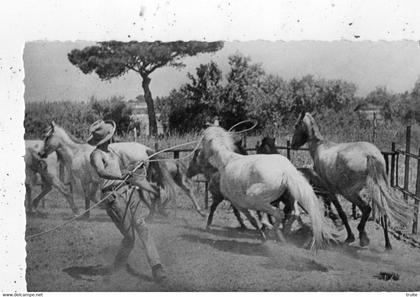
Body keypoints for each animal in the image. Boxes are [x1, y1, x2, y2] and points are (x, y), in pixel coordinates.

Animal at [197, 125, 338, 247]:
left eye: (203, 140)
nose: (199, 156)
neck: (226, 162)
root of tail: (286, 170)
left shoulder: (237, 203)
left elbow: (253, 219)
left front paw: (263, 234)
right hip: (292, 198)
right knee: (293, 213)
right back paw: (283, 233)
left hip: (258, 200)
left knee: (279, 214)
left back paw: (278, 234)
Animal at [290, 110, 412, 247]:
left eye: (296, 125)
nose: (293, 144)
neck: (319, 146)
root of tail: (370, 154)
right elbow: (331, 207)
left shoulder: (329, 190)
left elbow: (339, 211)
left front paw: (347, 234)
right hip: (377, 189)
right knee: (382, 211)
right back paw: (387, 244)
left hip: (349, 192)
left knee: (366, 208)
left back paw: (362, 236)